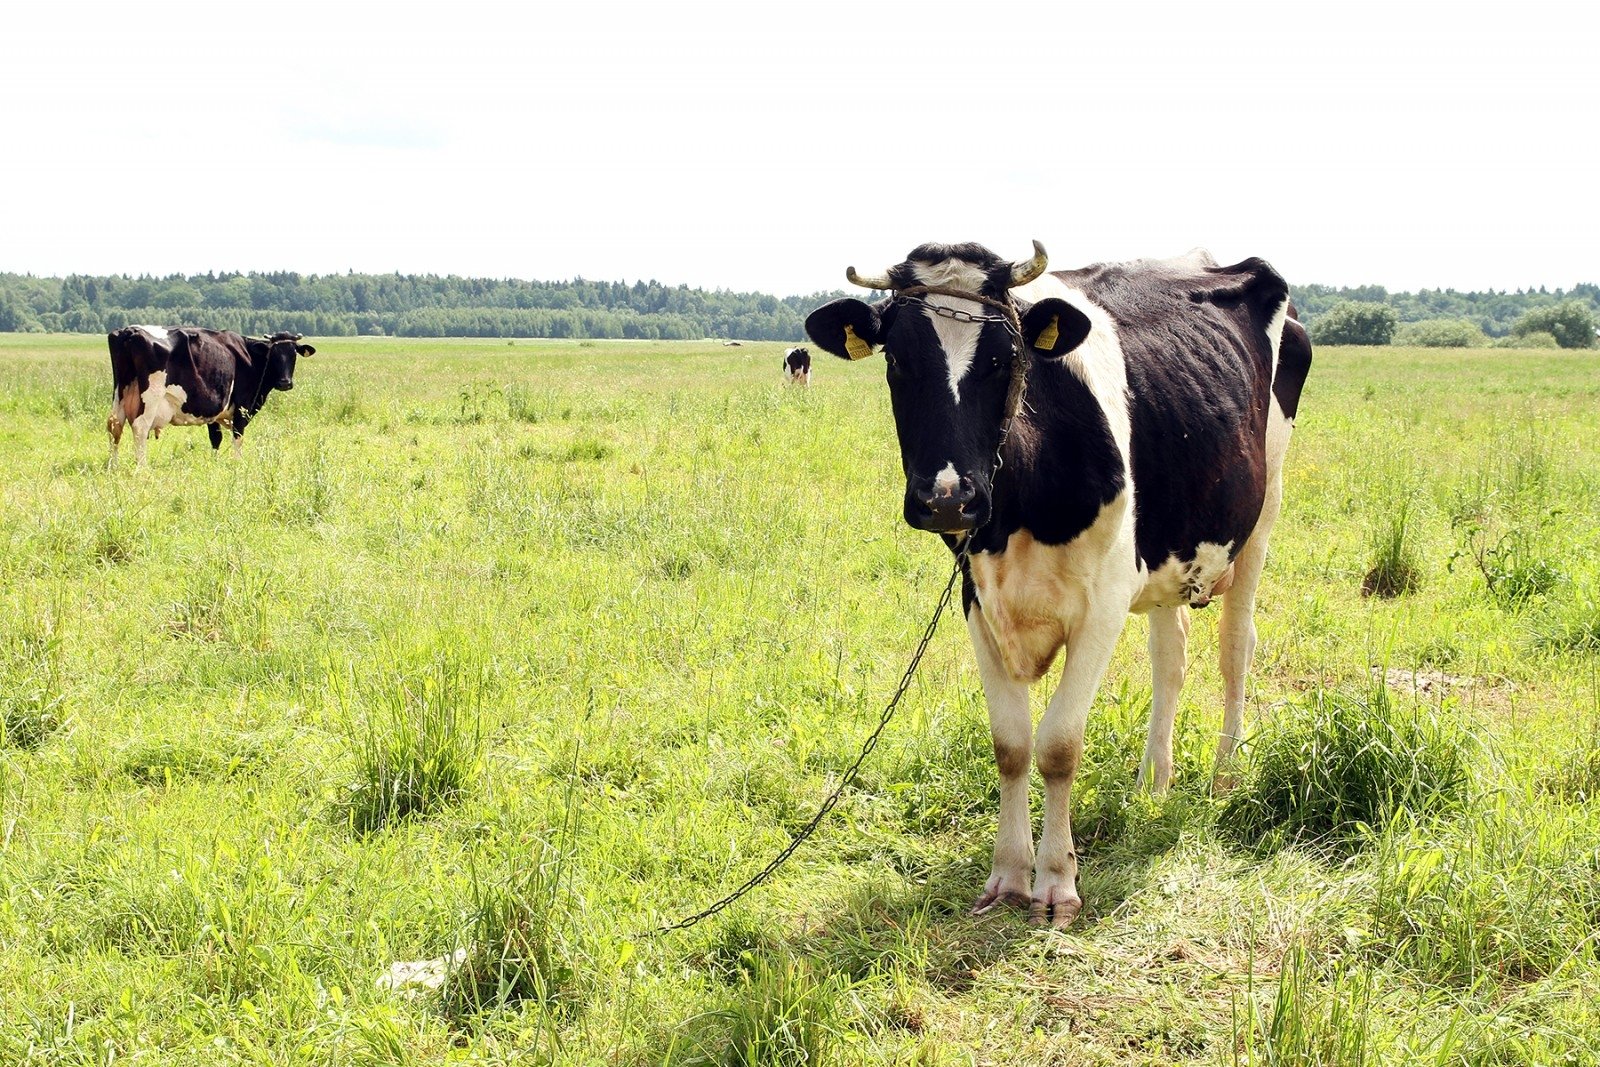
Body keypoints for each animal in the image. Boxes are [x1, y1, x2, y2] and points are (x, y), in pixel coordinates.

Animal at [107, 326, 315, 467]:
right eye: (274, 354)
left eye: (293, 354)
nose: (285, 382)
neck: (250, 356)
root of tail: (130, 331)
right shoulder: (242, 408)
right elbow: (237, 437)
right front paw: (237, 463)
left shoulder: (214, 411)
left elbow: (215, 439)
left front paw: (214, 463)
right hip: (151, 397)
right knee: (139, 428)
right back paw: (142, 468)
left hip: (120, 394)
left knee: (115, 426)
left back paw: (113, 466)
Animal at [806, 241, 1305, 927]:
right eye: (898, 361)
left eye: (1002, 358)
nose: (947, 499)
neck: (1019, 507)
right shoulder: (977, 598)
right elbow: (1012, 745)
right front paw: (1009, 875)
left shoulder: (1104, 604)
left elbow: (1060, 745)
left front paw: (1057, 883)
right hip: (1169, 549)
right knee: (1170, 655)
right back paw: (1154, 781)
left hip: (1263, 511)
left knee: (1236, 646)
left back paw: (1225, 773)